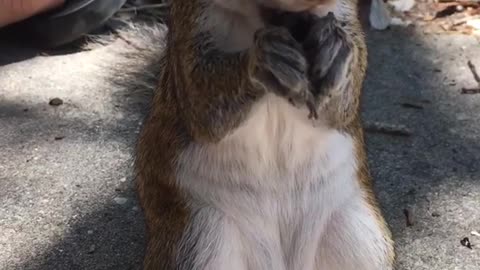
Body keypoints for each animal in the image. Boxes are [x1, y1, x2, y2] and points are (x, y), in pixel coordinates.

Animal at [122, 0, 396, 268]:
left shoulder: (345, 15)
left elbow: (345, 101)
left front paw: (335, 51)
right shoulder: (188, 28)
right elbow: (201, 103)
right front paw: (263, 61)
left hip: (358, 236)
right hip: (198, 237)